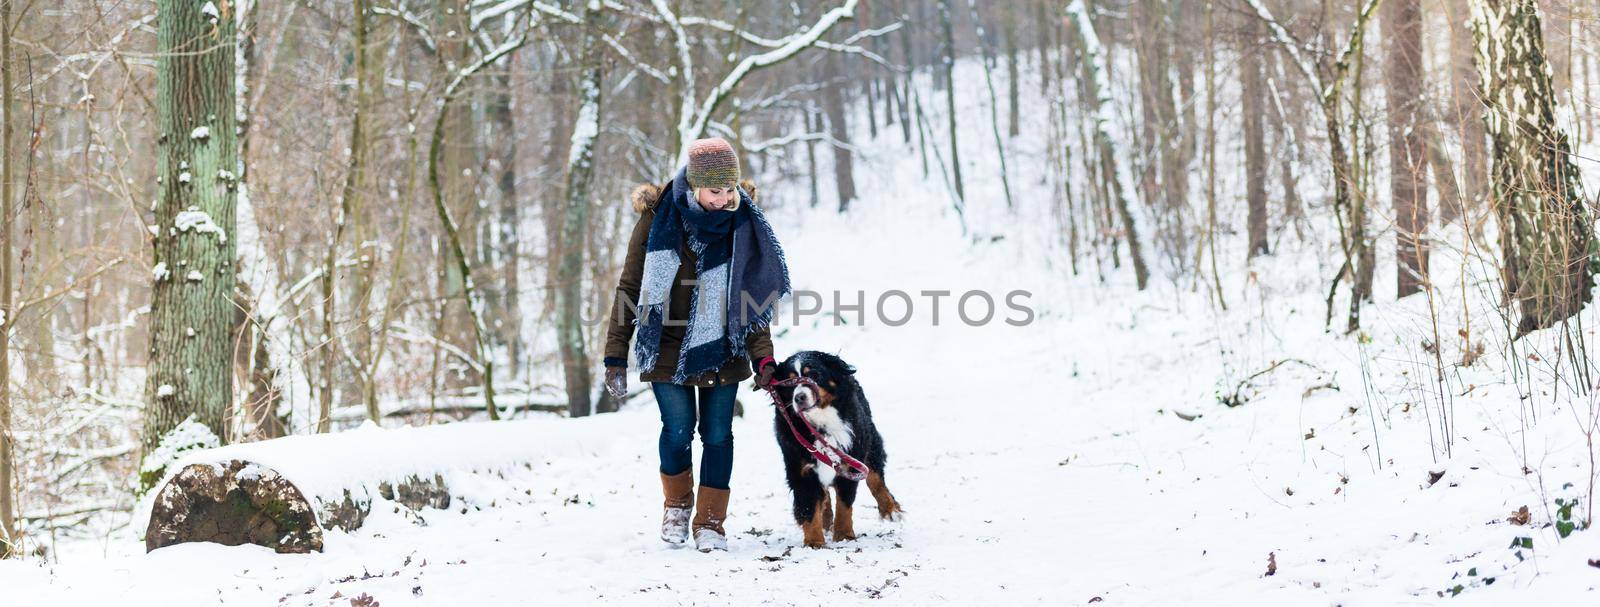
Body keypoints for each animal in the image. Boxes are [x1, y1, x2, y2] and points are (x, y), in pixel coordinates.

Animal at [771, 349, 908, 547]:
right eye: (788, 383)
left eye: (814, 375)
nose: (799, 397)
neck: (821, 425)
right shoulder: (802, 470)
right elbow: (809, 507)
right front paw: (814, 542)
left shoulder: (850, 460)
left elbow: (845, 505)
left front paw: (844, 536)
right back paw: (826, 521)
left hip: (870, 441)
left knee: (875, 478)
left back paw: (890, 510)